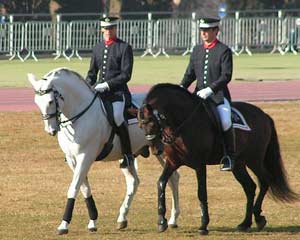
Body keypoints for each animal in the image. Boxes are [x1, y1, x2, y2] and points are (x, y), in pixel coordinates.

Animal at [27, 67, 180, 234]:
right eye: (36, 102)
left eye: (50, 101)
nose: (50, 130)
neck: (79, 115)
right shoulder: (73, 160)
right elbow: (84, 188)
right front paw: (92, 221)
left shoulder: (85, 157)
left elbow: (74, 187)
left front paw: (64, 224)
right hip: (134, 155)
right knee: (136, 182)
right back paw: (123, 218)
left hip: (164, 152)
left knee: (173, 178)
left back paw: (172, 219)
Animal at [138, 83, 298, 234]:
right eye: (140, 125)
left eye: (152, 121)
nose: (155, 149)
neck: (183, 122)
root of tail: (263, 115)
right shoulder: (173, 162)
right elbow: (161, 183)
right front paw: (161, 221)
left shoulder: (199, 164)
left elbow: (201, 192)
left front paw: (203, 225)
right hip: (238, 164)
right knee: (250, 187)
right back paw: (245, 223)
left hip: (255, 160)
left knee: (264, 182)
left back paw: (258, 218)